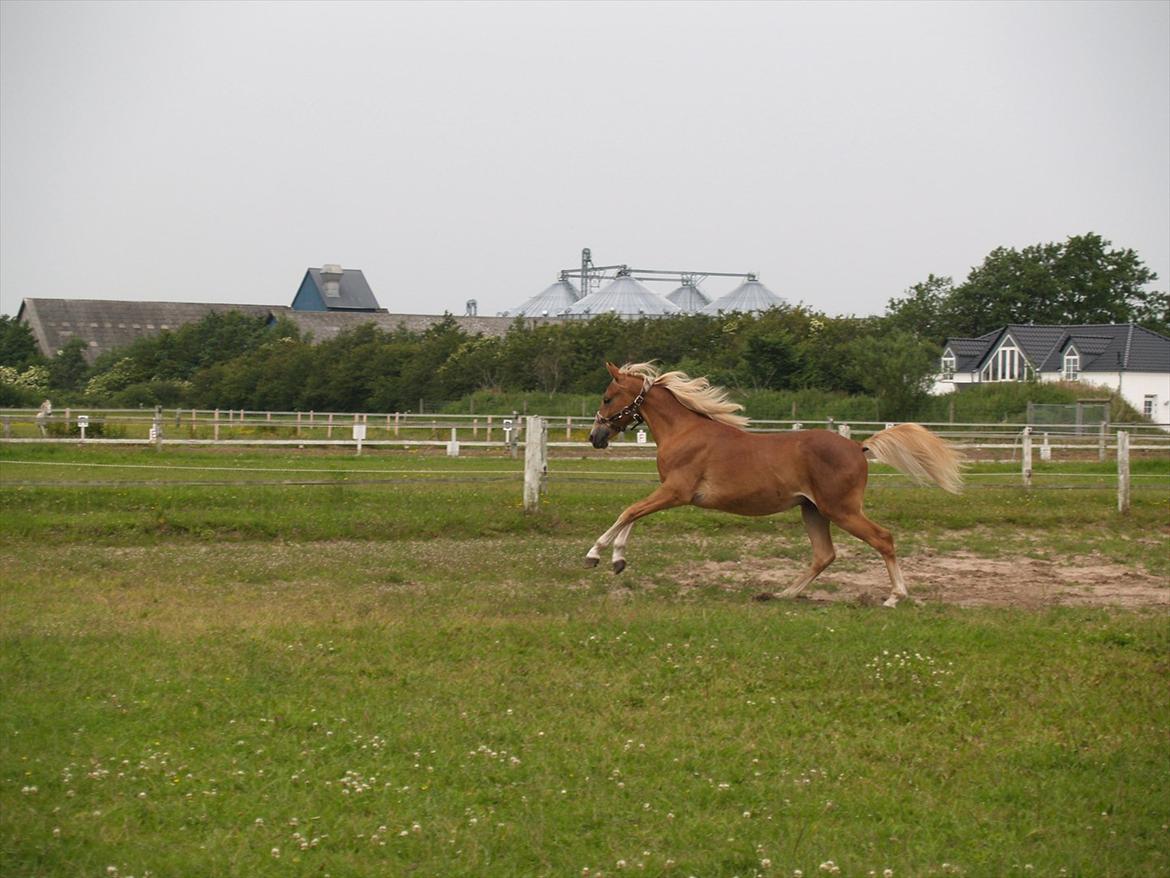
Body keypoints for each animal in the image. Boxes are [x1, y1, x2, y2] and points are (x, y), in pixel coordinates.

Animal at [585, 362, 963, 607]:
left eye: (606, 398)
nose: (594, 437)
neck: (685, 432)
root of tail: (858, 446)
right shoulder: (670, 493)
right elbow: (634, 515)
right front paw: (618, 561)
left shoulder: (676, 492)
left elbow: (629, 511)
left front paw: (595, 555)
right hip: (813, 511)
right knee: (824, 554)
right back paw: (782, 594)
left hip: (840, 509)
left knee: (883, 538)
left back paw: (894, 597)